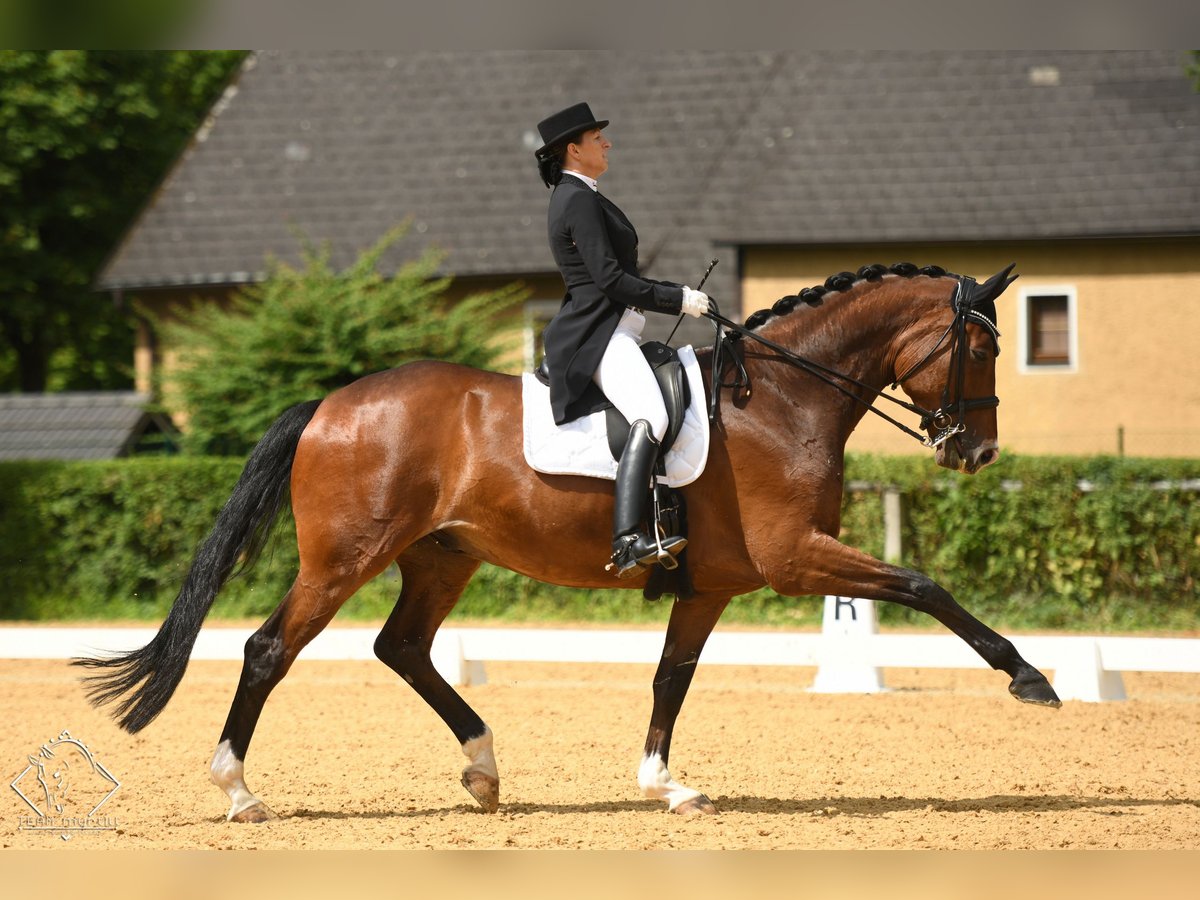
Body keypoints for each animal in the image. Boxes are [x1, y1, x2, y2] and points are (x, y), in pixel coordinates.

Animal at [79, 262, 1060, 825]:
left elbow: (671, 678)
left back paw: (483, 772)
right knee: (268, 649)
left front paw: (666, 785)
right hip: (343, 558)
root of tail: (329, 404)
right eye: (980, 346)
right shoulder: (795, 557)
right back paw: (240, 791)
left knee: (402, 648)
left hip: (443, 555)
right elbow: (924, 584)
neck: (784, 399)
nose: (978, 452)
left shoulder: (713, 584)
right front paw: (1031, 677)